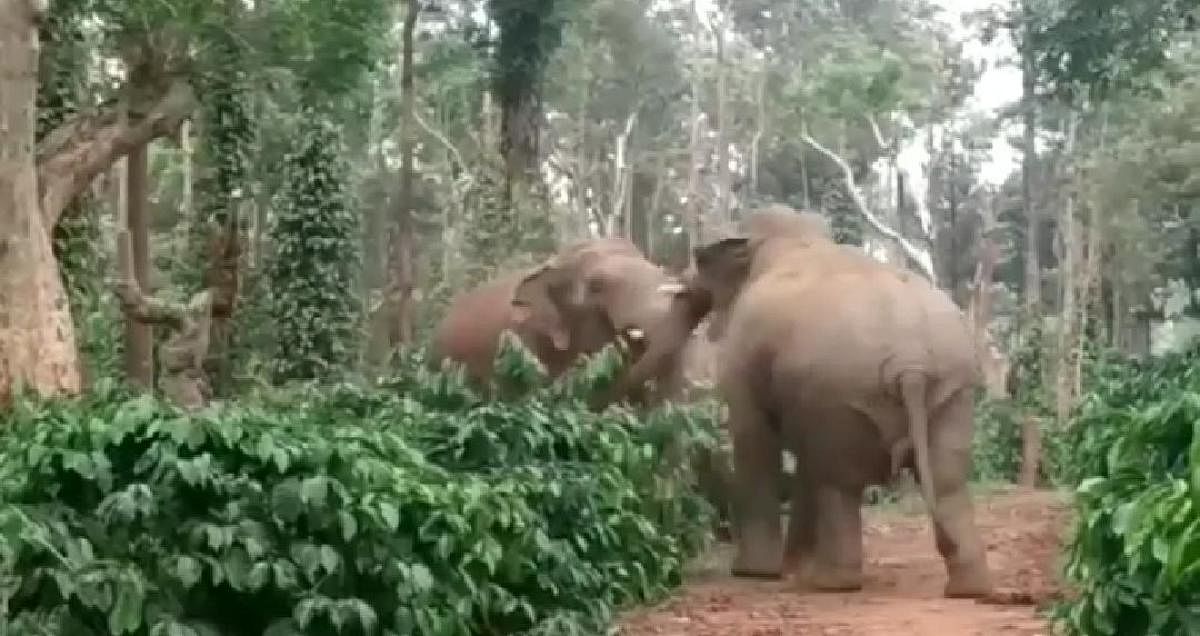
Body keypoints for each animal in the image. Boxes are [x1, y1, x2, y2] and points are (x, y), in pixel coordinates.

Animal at [609, 205, 993, 597]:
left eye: (700, 263)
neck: (789, 237)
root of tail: (910, 363)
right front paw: (791, 565)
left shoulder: (746, 353)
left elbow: (752, 436)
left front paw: (754, 573)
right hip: (952, 389)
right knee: (946, 481)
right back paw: (969, 588)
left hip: (842, 391)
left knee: (839, 483)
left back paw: (829, 582)